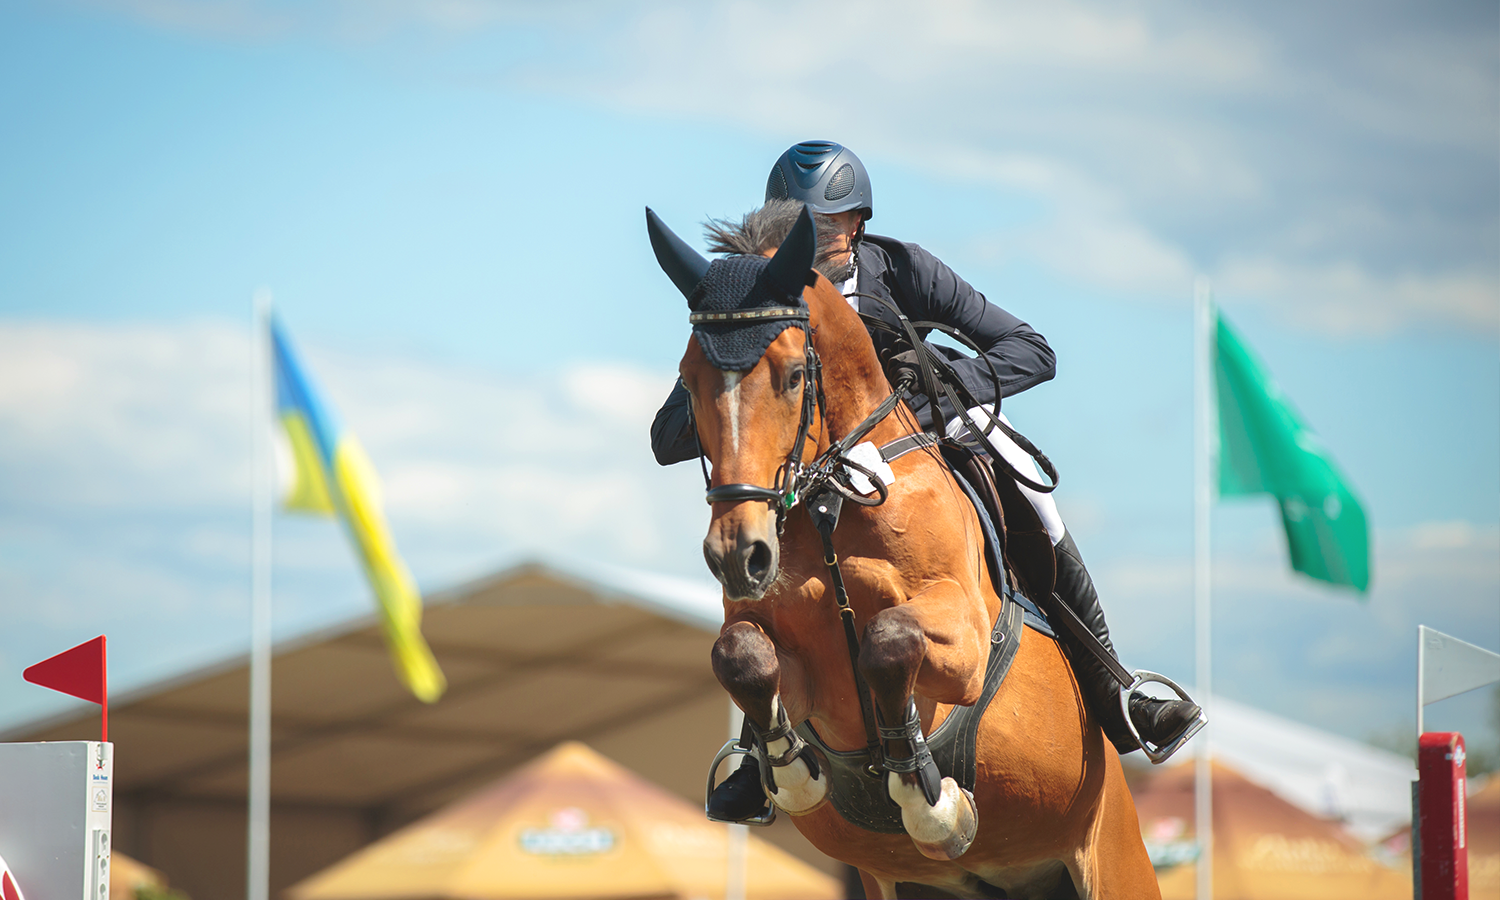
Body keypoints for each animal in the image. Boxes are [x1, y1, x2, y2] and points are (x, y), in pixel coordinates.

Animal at [647, 205, 1159, 900]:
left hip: (1112, 860)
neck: (832, 498)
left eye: (794, 376)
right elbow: (742, 656)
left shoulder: (964, 644)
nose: (737, 555)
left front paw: (932, 804)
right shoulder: (780, 655)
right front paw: (791, 774)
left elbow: (889, 642)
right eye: (688, 380)